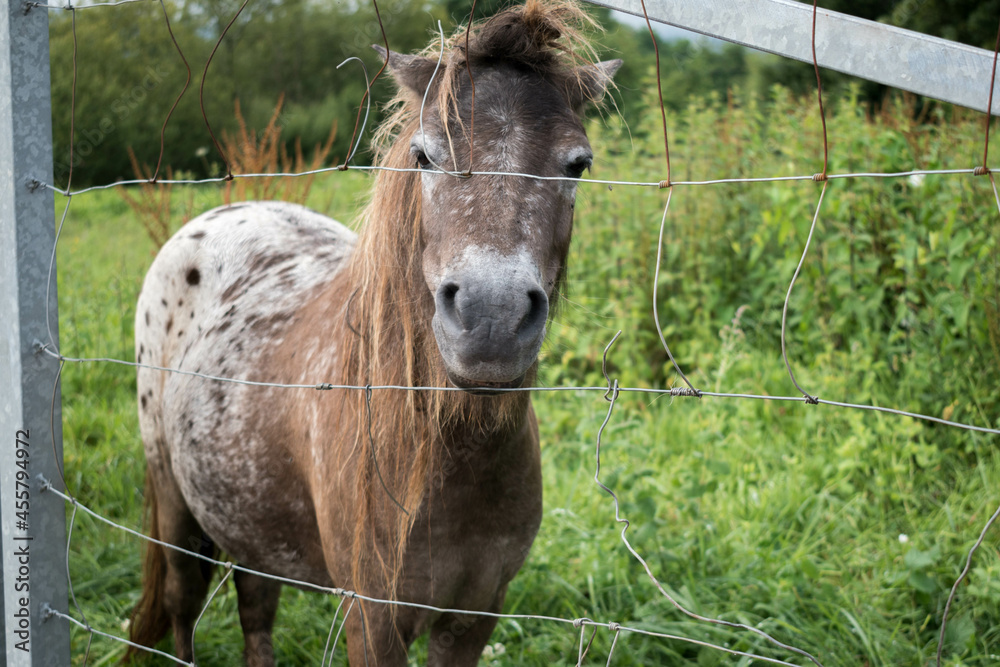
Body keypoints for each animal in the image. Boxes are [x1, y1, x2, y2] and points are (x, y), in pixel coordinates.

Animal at [127, 1, 620, 664]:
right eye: (425, 155)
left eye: (577, 164)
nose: (491, 318)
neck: (448, 461)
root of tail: (222, 215)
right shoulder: (371, 619)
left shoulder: (475, 618)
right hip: (175, 503)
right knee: (182, 605)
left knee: (255, 611)